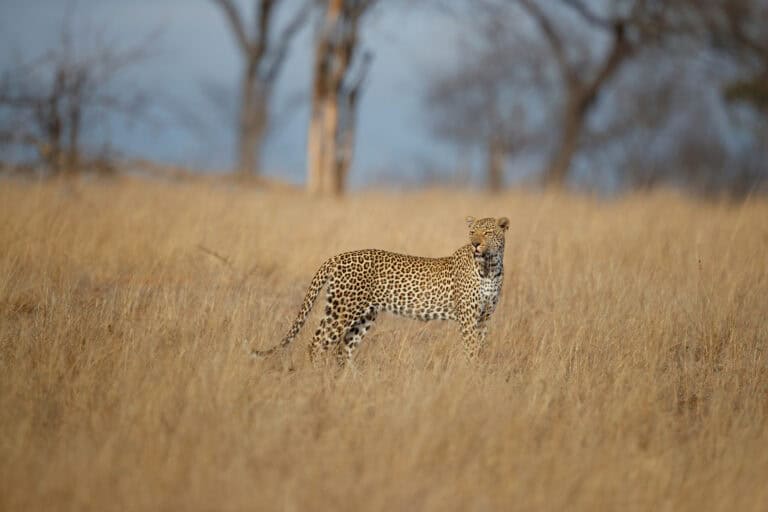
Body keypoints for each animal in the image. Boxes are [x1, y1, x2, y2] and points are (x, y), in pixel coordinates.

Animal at [248, 216, 509, 366]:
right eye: (472, 232)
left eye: (487, 232)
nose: (475, 244)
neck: (490, 265)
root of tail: (336, 257)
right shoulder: (468, 318)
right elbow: (471, 350)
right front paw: (471, 378)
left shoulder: (484, 319)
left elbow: (478, 348)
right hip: (344, 312)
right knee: (317, 344)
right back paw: (318, 380)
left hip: (362, 315)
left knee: (342, 350)